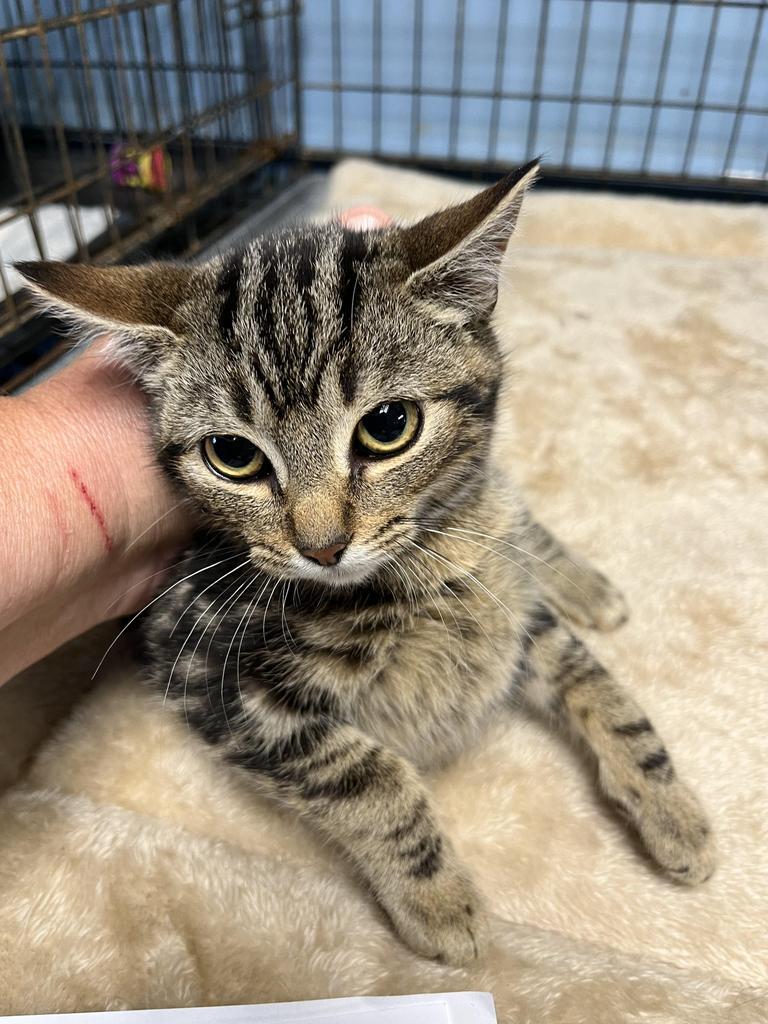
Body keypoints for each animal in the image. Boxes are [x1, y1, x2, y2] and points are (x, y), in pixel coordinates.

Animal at [18, 161, 716, 966]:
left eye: (388, 426)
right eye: (233, 456)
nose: (321, 545)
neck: (426, 563)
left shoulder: (513, 611)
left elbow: (595, 685)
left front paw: (670, 806)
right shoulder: (205, 673)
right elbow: (369, 774)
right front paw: (439, 900)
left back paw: (581, 581)